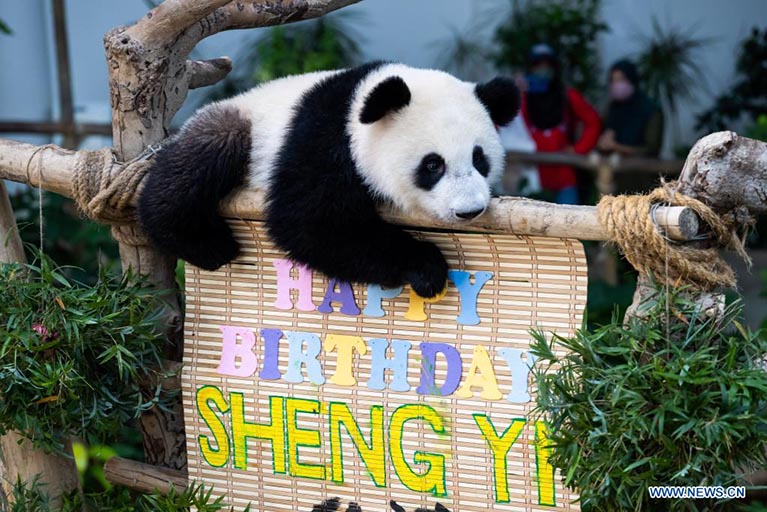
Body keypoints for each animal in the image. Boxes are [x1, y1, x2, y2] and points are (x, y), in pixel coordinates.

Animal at [140, 62, 520, 298]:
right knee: (199, 160)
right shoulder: (324, 138)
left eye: (479, 158)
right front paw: (426, 266)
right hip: (244, 126)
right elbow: (310, 221)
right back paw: (206, 243)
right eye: (432, 165)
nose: (469, 211)